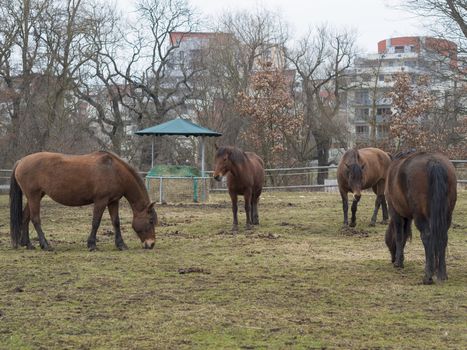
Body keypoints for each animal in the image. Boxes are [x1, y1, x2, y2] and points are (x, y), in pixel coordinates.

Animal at [10, 152, 157, 250]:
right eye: (150, 221)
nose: (151, 244)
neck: (114, 171)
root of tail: (21, 161)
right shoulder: (101, 201)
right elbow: (96, 222)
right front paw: (92, 245)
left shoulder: (113, 202)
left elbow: (116, 222)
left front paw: (121, 245)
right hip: (33, 196)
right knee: (35, 219)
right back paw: (45, 245)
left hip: (36, 196)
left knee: (25, 217)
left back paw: (28, 244)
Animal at [386, 151, 458, 284]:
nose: (392, 259)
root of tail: (434, 162)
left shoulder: (396, 212)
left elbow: (399, 236)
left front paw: (399, 262)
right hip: (446, 215)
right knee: (442, 237)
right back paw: (441, 274)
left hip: (420, 216)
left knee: (427, 236)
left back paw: (428, 276)